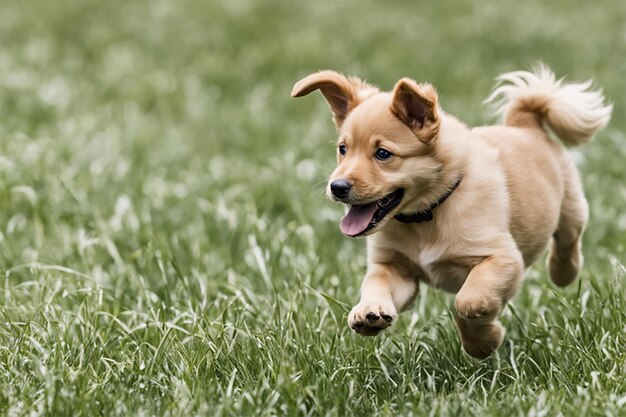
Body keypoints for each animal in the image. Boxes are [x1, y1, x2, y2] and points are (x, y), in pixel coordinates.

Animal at [292, 67, 608, 358]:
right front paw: (370, 310)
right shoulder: (395, 268)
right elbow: (376, 282)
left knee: (568, 240)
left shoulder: (504, 260)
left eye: (383, 154)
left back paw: (563, 272)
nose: (337, 187)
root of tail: (525, 123)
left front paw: (484, 342)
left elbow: (468, 302)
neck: (426, 216)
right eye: (343, 149)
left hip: (571, 205)